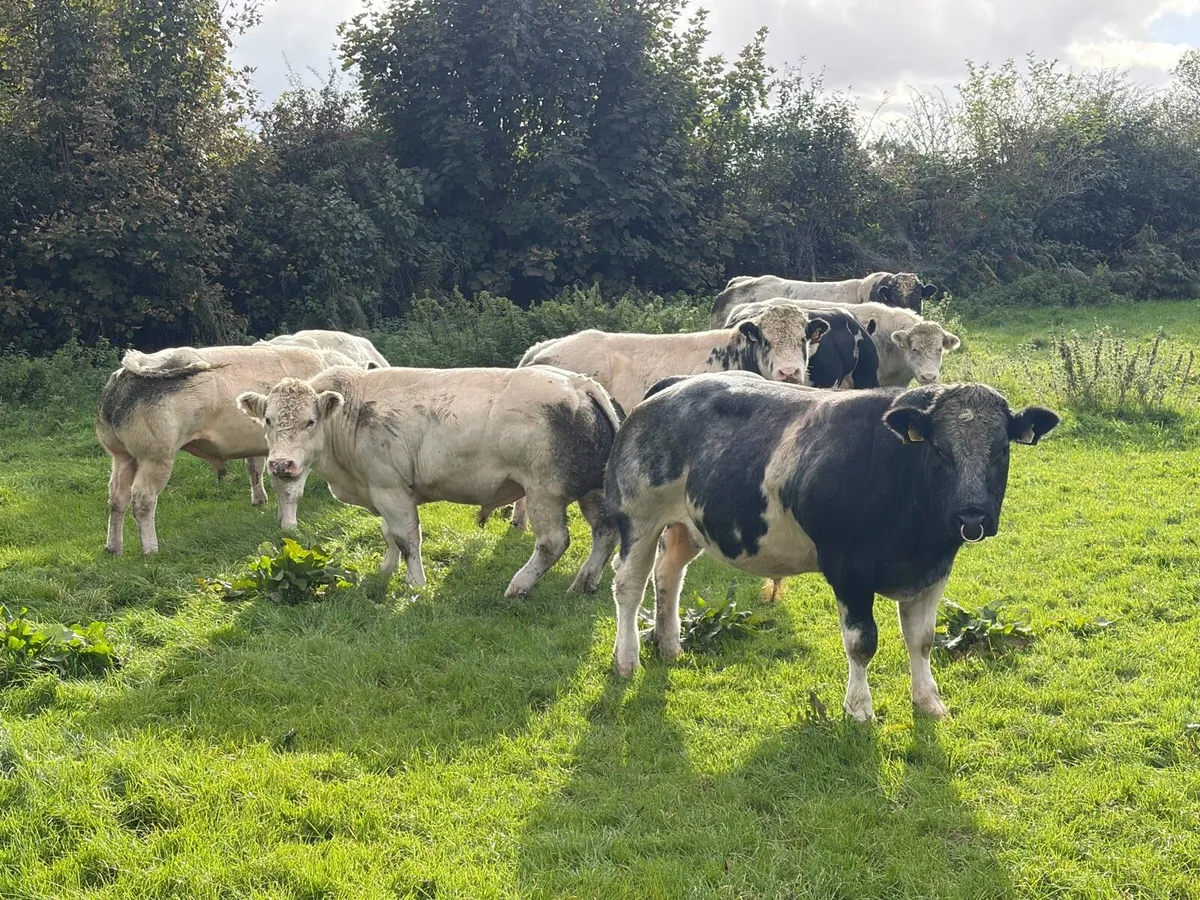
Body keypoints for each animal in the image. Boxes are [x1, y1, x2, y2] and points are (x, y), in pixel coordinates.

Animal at [96, 344, 359, 555]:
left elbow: (272, 482)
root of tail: (127, 372)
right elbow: (291, 491)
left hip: (122, 456)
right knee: (143, 499)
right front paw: (290, 527)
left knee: (117, 498)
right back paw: (150, 548)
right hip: (156, 458)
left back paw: (113, 548)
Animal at [235, 365, 624, 600]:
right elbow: (388, 534)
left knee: (553, 542)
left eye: (310, 421)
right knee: (605, 533)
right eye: (268, 420)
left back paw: (518, 586)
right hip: (593, 489)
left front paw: (416, 584)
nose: (281, 464)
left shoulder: (391, 490)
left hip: (545, 492)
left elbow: (408, 539)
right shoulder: (382, 490)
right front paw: (385, 569)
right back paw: (584, 583)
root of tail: (580, 384)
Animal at [603, 373, 1059, 720]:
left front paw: (929, 701)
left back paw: (670, 645)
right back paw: (627, 659)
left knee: (668, 574)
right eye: (939, 449)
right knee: (628, 586)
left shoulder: (933, 573)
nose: (972, 516)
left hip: (687, 525)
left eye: (1001, 450)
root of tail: (673, 385)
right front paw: (859, 709)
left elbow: (922, 639)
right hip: (638, 517)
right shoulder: (849, 570)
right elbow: (862, 642)